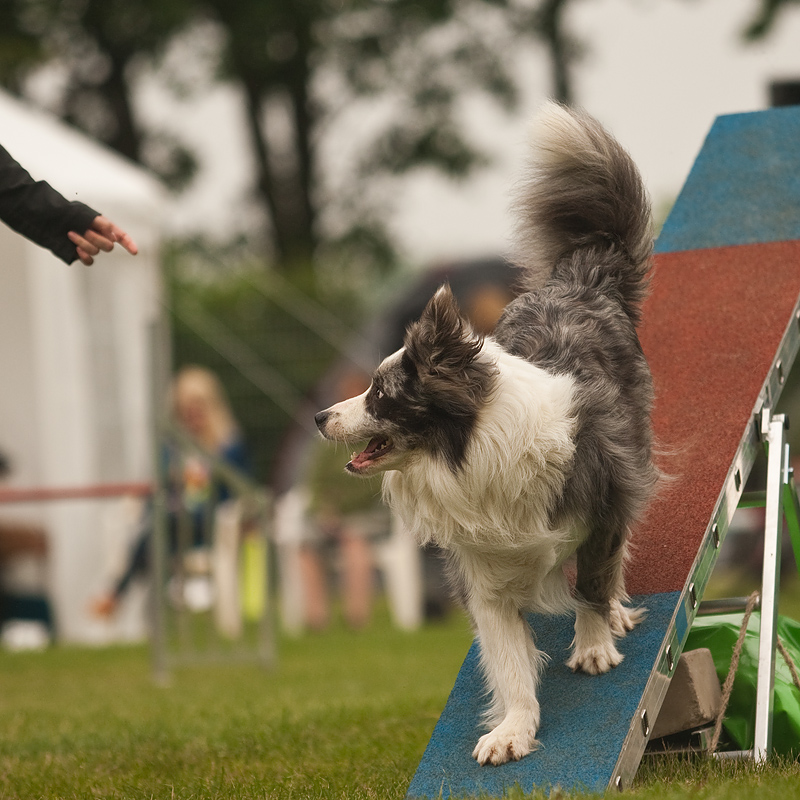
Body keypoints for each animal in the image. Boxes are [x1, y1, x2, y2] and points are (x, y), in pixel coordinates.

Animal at [312, 103, 656, 764]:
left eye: (379, 393)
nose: (319, 418)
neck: (467, 450)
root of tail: (580, 281)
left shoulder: (604, 494)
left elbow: (593, 577)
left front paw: (594, 643)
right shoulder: (480, 566)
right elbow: (507, 657)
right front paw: (513, 730)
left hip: (633, 446)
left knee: (621, 548)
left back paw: (619, 613)